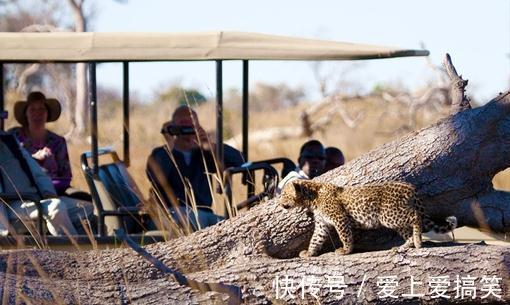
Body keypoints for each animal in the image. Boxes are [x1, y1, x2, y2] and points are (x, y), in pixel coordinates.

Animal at [280, 178, 456, 256]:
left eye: (284, 194)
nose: (279, 203)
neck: (312, 198)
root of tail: (410, 187)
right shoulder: (323, 224)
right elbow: (315, 239)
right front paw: (309, 253)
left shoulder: (339, 218)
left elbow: (344, 235)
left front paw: (345, 250)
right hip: (394, 219)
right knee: (408, 233)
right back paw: (402, 247)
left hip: (389, 215)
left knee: (415, 216)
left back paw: (418, 242)